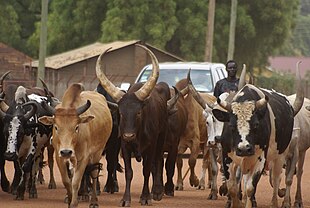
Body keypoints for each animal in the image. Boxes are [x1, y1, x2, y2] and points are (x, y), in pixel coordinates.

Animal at [95, 44, 174, 206]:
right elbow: (129, 173)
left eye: (138, 112)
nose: (129, 135)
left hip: (161, 138)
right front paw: (125, 199)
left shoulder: (150, 147)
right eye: (121, 112)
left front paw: (146, 197)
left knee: (158, 162)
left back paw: (157, 191)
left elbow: (147, 170)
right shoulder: (124, 146)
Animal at [211, 63, 302, 208]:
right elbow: (232, 187)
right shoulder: (227, 157)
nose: (244, 149)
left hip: (280, 155)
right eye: (231, 125)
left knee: (276, 179)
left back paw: (274, 203)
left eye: (256, 124)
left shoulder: (260, 159)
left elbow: (250, 188)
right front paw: (236, 203)